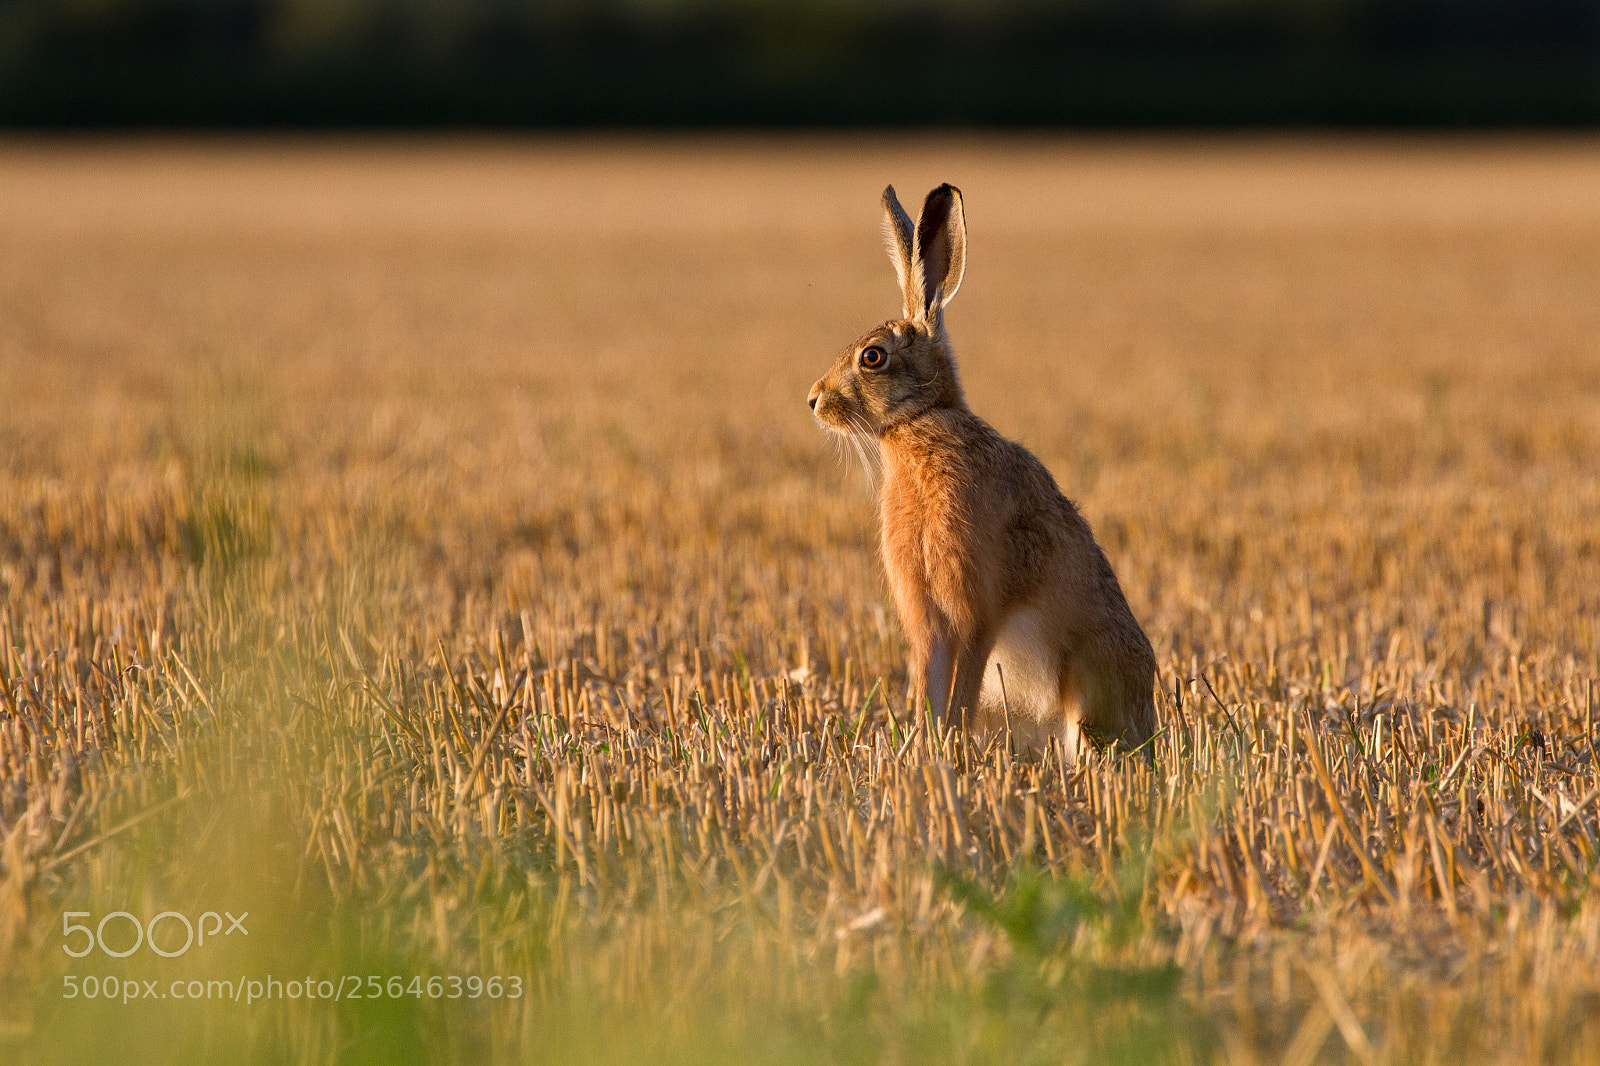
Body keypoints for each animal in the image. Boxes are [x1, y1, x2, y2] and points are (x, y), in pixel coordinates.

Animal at [807, 183, 1156, 760]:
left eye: (873, 357)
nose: (813, 401)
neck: (920, 425)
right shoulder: (927, 617)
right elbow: (931, 685)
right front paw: (927, 750)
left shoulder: (976, 606)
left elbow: (963, 686)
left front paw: (947, 747)